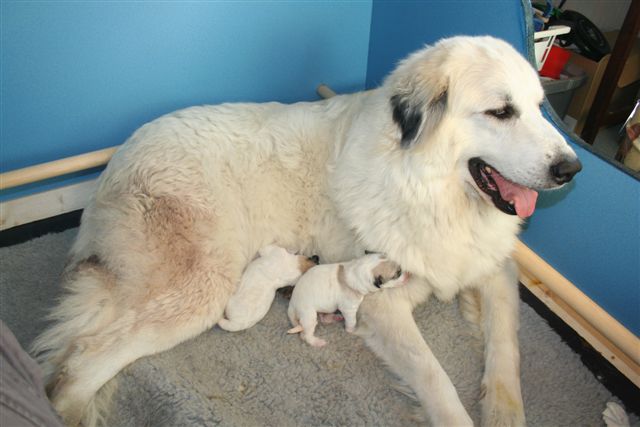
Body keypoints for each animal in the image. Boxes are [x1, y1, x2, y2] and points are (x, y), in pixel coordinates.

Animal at [32, 36, 580, 427]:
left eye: (539, 107)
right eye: (501, 112)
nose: (570, 169)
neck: (430, 190)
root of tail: (114, 163)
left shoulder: (497, 270)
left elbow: (506, 352)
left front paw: (503, 410)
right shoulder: (382, 302)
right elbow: (437, 381)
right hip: (202, 288)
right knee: (81, 363)